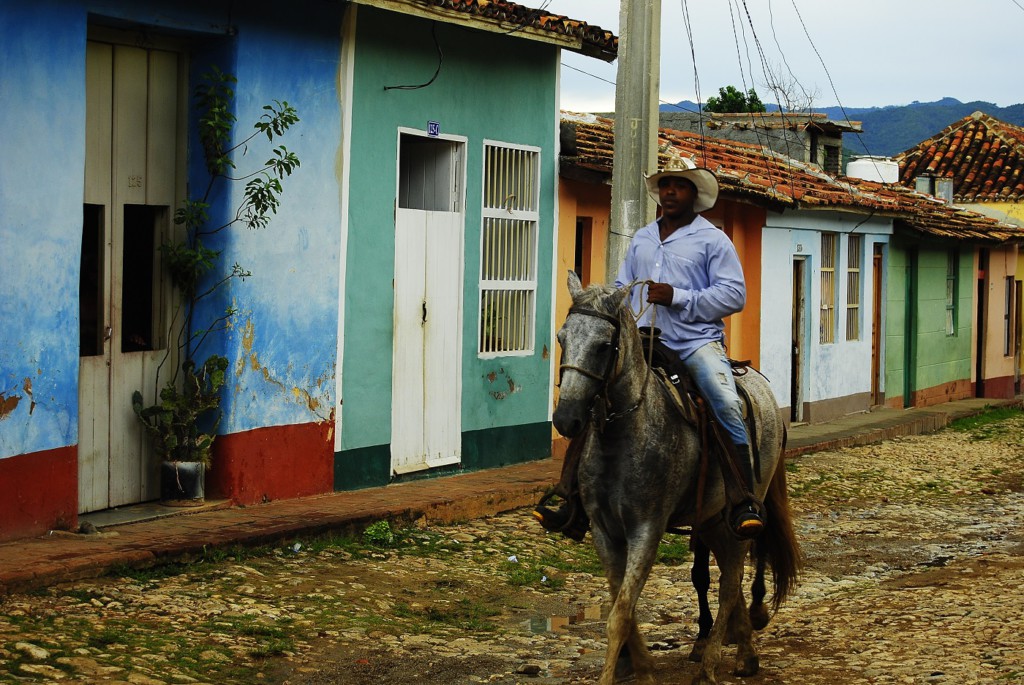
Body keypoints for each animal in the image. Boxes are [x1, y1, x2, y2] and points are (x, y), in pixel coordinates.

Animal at [552, 272, 798, 683]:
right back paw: (742, 651)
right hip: (713, 519)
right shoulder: (605, 531)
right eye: (562, 338)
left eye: (604, 346)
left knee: (731, 582)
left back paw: (714, 663)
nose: (566, 419)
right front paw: (638, 666)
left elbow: (620, 614)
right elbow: (622, 605)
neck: (625, 434)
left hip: (741, 515)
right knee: (727, 578)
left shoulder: (646, 530)